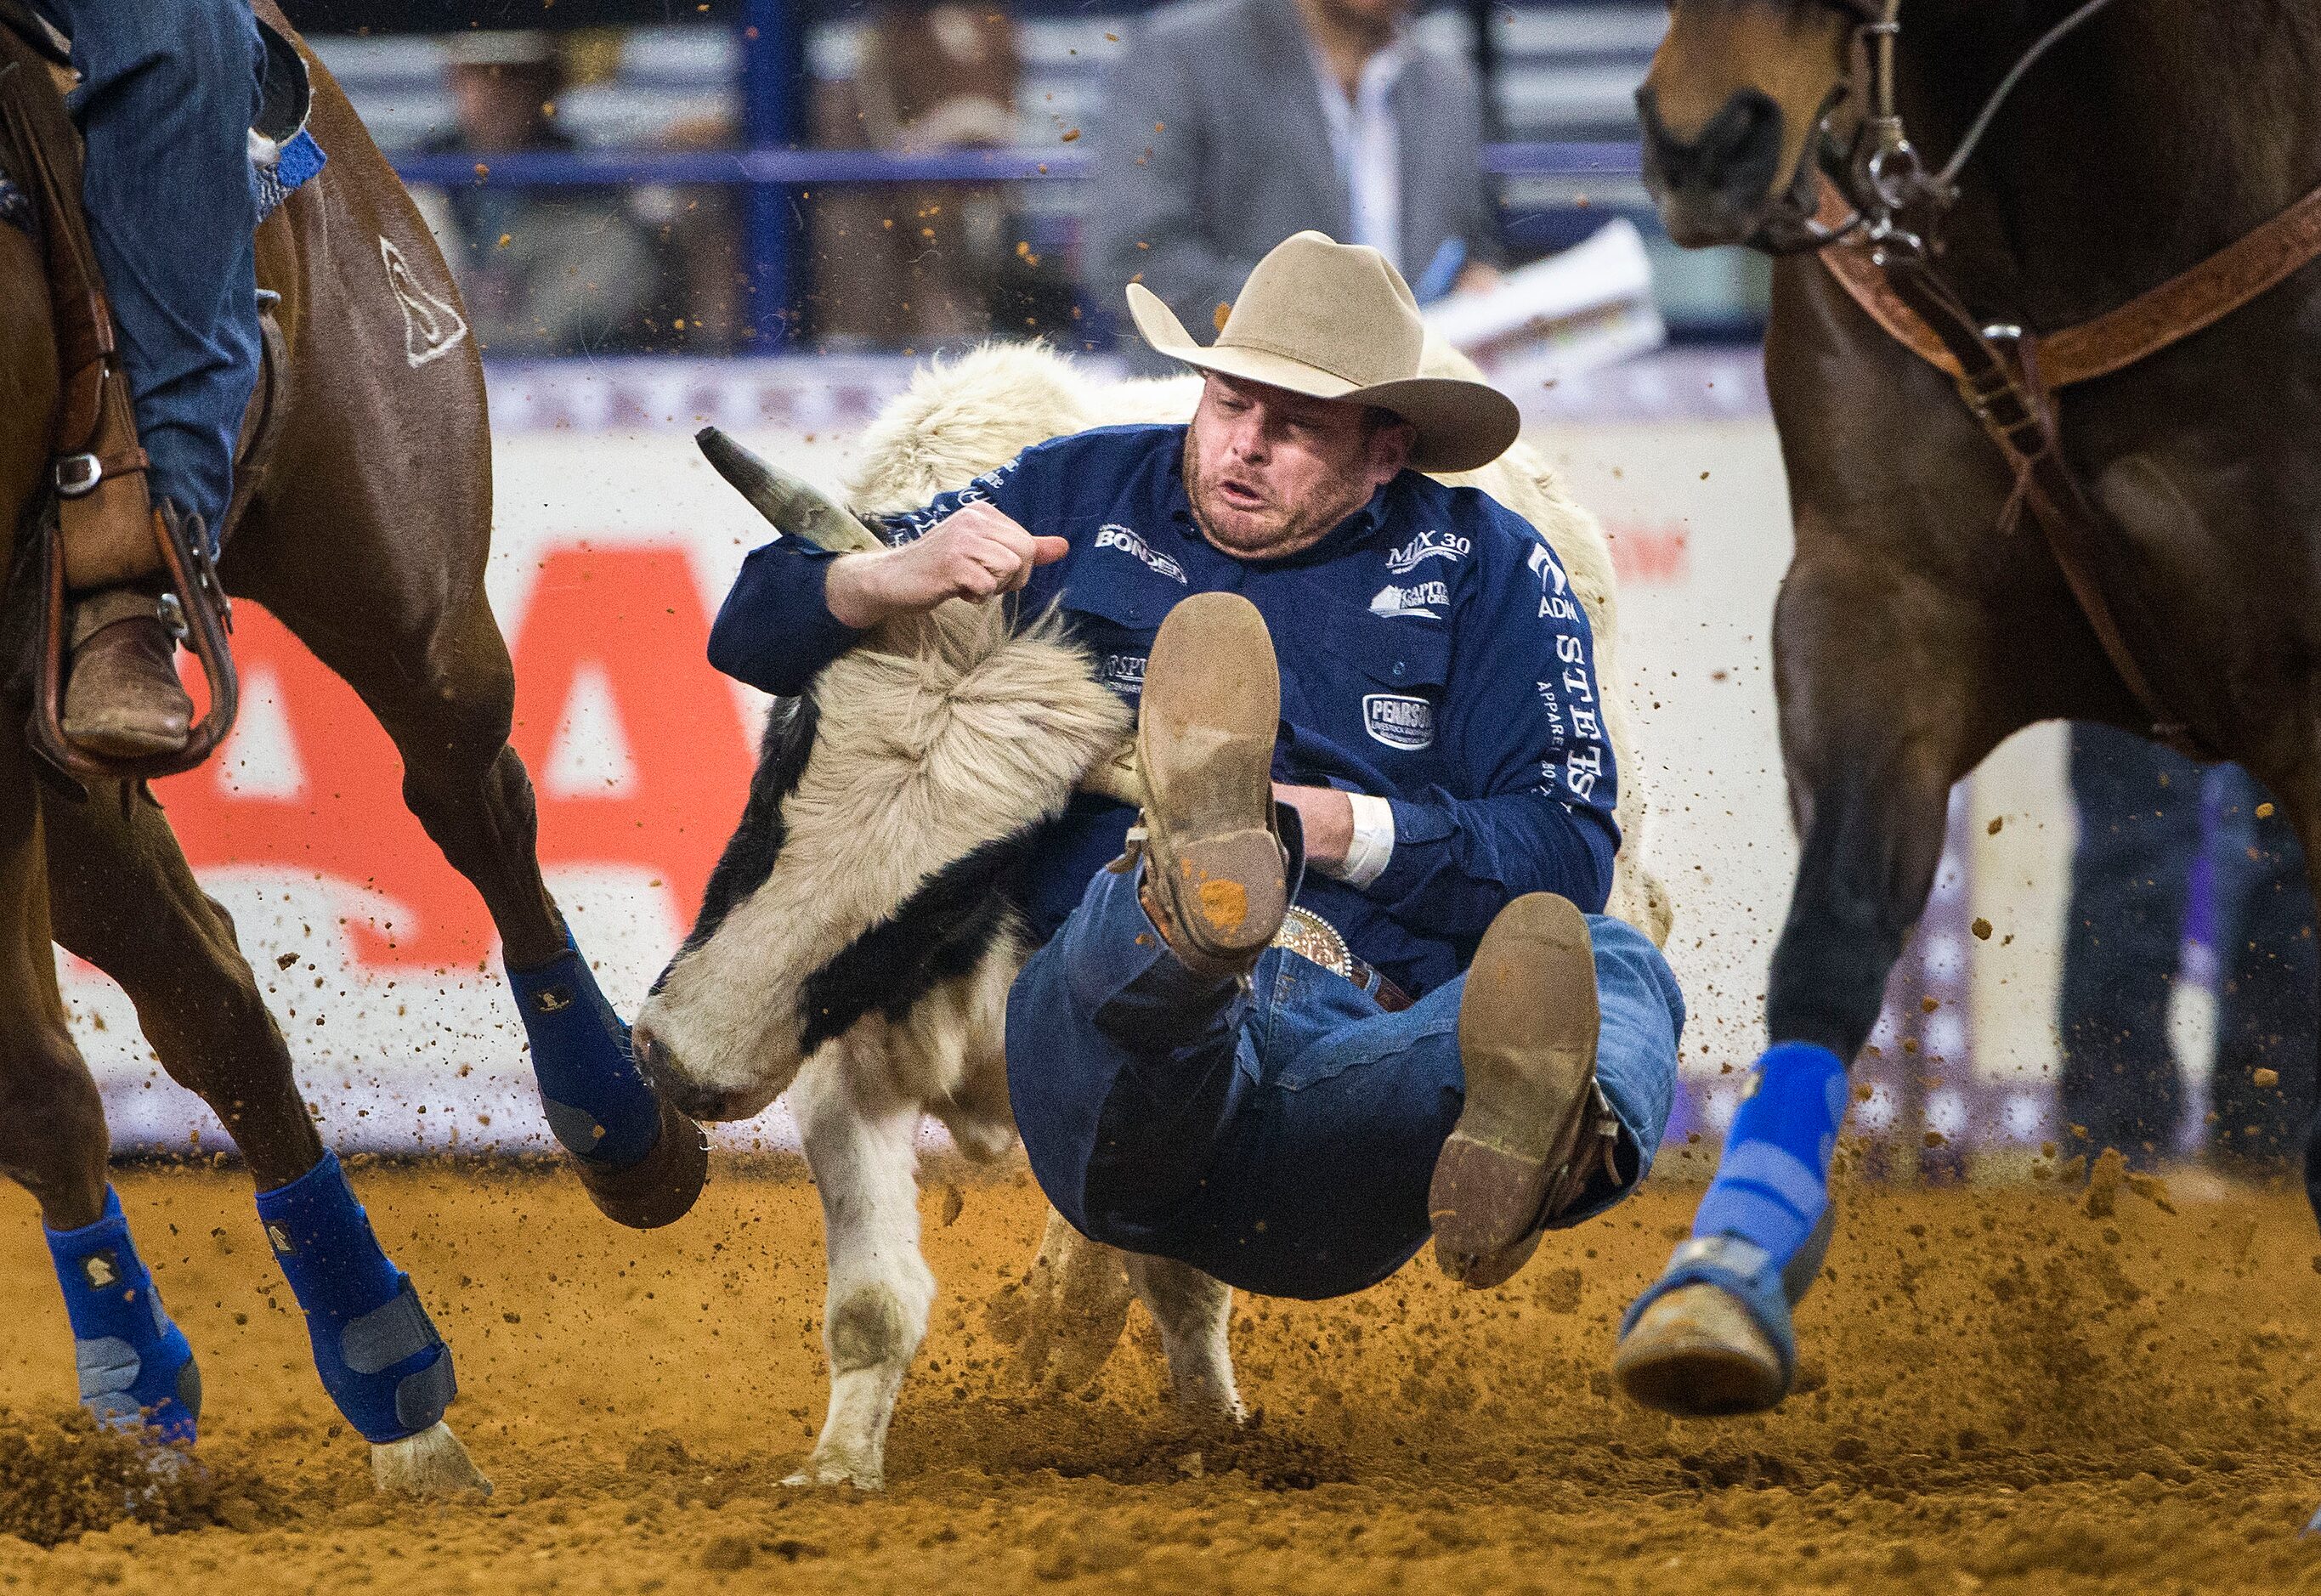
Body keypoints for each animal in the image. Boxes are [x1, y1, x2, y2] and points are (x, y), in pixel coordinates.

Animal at [4, 6, 700, 1493]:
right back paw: (336, 1367)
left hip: (399, 570)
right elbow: (38, 1079)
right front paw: (136, 1400)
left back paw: (619, 1127)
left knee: (473, 804)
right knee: (207, 996)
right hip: (67, 752)